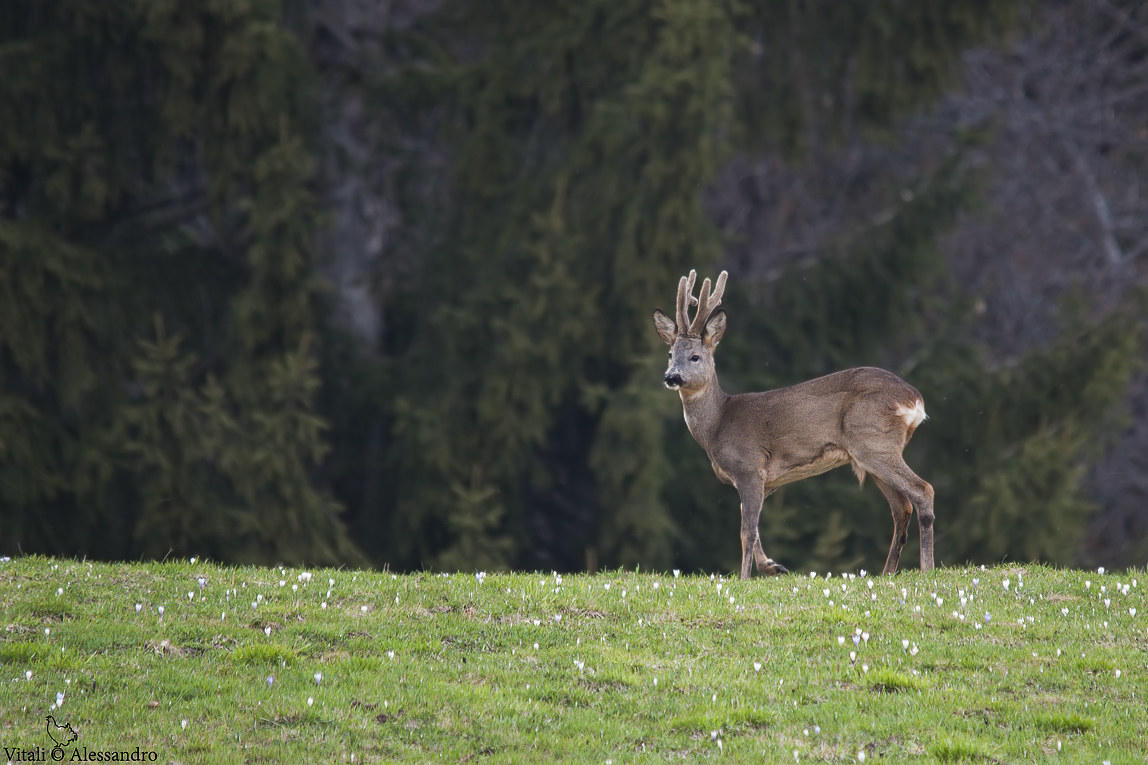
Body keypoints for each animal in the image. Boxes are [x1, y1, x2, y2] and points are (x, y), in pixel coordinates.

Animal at [653, 270, 935, 579]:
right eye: (670, 354)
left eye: (695, 356)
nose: (671, 377)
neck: (718, 424)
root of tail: (915, 399)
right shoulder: (764, 481)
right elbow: (753, 527)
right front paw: (773, 566)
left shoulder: (749, 467)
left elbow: (746, 531)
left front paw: (745, 577)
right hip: (871, 455)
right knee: (901, 508)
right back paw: (887, 573)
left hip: (874, 443)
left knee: (923, 491)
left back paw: (927, 569)